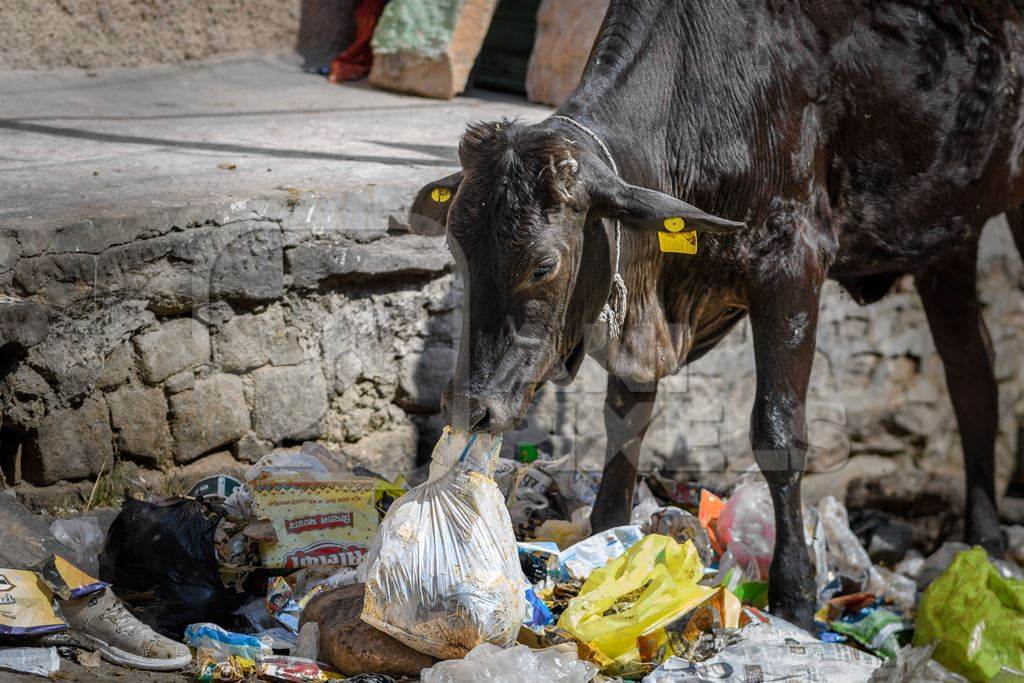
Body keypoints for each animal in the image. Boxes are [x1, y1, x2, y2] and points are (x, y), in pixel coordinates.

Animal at [407, 0, 1024, 630]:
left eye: (542, 265)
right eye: (455, 246)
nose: (471, 405)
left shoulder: (794, 261)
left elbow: (779, 430)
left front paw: (795, 596)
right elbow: (626, 420)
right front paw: (610, 546)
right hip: (948, 238)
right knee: (973, 375)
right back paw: (987, 543)